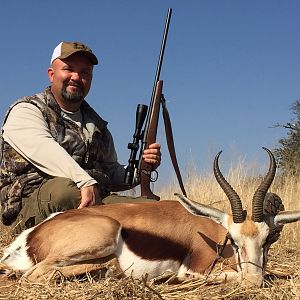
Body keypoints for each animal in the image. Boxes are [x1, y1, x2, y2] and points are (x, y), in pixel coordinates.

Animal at [0, 148, 300, 286]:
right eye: (233, 240)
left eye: (268, 240)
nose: (254, 281)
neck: (212, 234)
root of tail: (30, 236)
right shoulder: (194, 269)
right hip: (102, 237)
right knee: (36, 275)